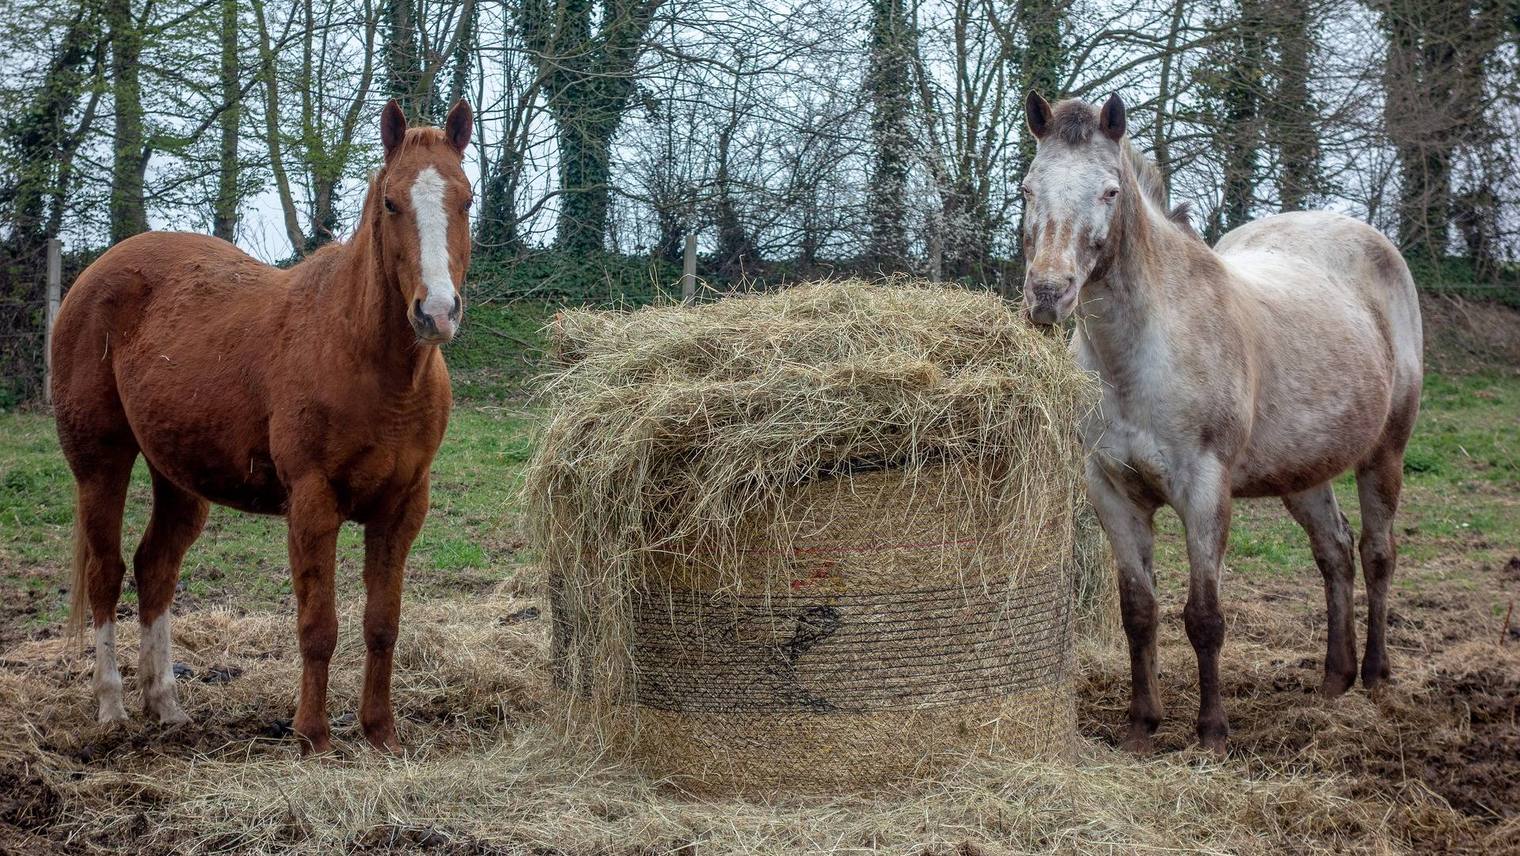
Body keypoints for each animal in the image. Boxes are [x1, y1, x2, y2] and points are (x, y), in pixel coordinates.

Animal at [50, 99, 473, 755]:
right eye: (390, 203)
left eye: (467, 200)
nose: (436, 312)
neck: (363, 356)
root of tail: (96, 272)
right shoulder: (312, 503)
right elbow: (318, 625)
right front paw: (313, 736)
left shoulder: (403, 507)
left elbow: (382, 624)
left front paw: (380, 732)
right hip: (100, 466)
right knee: (106, 575)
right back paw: (113, 708)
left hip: (179, 477)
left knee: (155, 569)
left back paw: (165, 705)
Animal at [1019, 92, 1422, 753]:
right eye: (1028, 187)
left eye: (1109, 191)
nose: (1048, 295)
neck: (1138, 356)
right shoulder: (1112, 491)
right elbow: (1139, 612)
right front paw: (1141, 727)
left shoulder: (1204, 490)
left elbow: (1204, 618)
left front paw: (1211, 732)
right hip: (1303, 471)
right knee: (1334, 552)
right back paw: (1333, 682)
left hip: (1385, 453)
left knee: (1376, 553)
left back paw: (1375, 675)